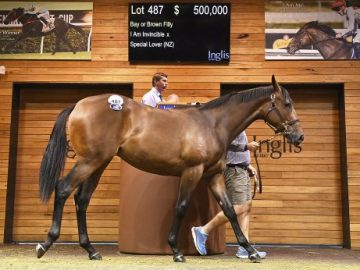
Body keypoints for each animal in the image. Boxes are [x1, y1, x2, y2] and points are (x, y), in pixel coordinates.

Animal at [36, 75, 302, 262]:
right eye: (287, 103)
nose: (299, 136)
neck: (212, 124)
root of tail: (78, 105)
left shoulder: (213, 175)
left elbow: (229, 211)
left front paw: (251, 250)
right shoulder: (192, 172)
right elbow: (181, 207)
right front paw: (176, 250)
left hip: (99, 163)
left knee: (82, 200)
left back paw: (91, 250)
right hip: (90, 161)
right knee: (63, 189)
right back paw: (45, 244)